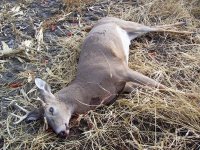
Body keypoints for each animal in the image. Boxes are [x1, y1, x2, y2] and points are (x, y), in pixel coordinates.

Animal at [10, 16, 196, 138]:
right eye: (45, 122)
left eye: (51, 109)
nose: (61, 133)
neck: (88, 88)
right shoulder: (123, 85)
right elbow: (149, 88)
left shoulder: (121, 70)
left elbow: (159, 85)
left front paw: (192, 96)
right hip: (130, 34)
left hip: (127, 24)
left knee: (154, 26)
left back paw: (187, 29)